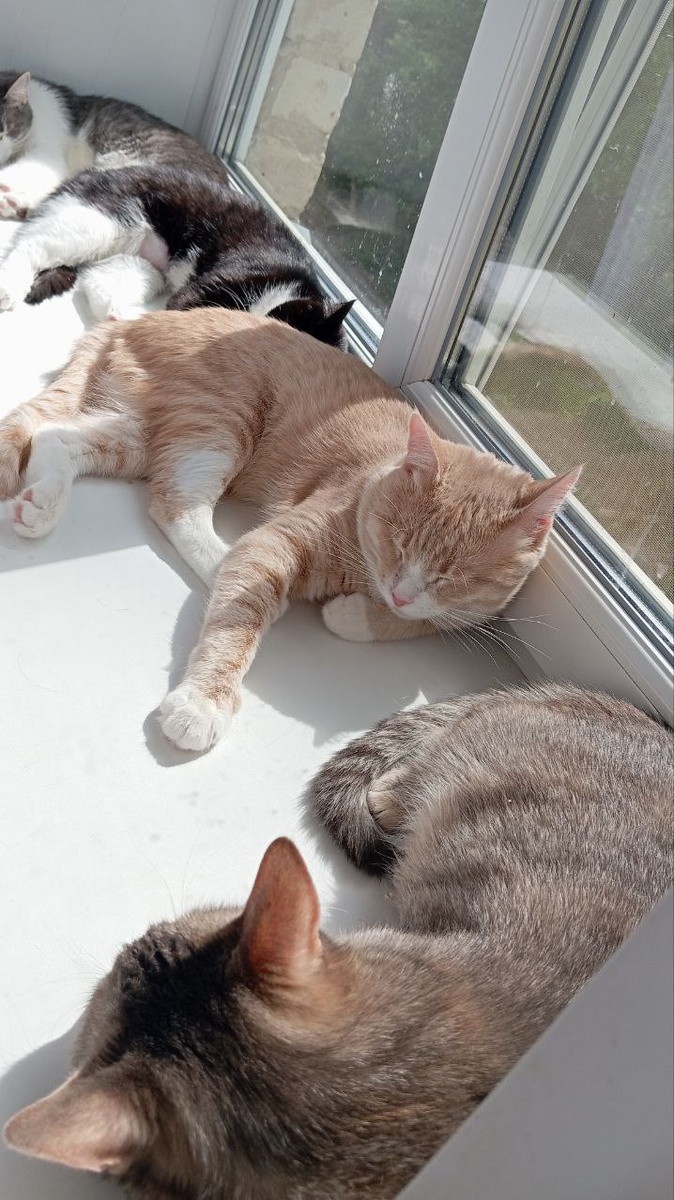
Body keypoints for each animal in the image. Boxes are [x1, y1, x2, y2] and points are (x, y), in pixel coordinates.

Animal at [0, 71, 351, 342]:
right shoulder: (209, 288)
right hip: (97, 224)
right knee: (31, 247)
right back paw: (9, 287)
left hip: (134, 260)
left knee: (96, 283)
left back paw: (121, 320)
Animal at [0, 308, 580, 751]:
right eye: (397, 543)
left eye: (454, 577)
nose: (399, 592)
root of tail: (137, 318)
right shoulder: (278, 540)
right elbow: (234, 627)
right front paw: (203, 702)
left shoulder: (479, 611)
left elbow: (430, 621)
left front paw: (357, 616)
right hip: (218, 423)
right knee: (177, 508)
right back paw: (223, 566)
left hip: (138, 434)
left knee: (56, 438)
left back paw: (42, 504)